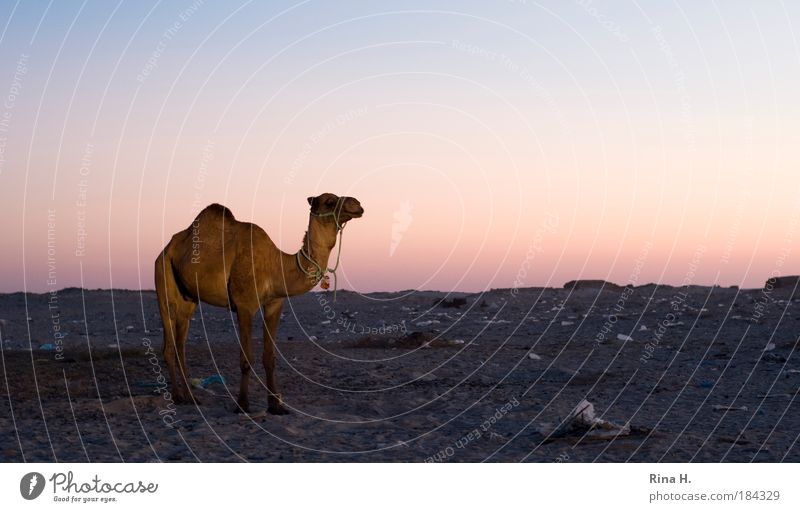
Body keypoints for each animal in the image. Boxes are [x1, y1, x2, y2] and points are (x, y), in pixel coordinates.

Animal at [154, 194, 366, 414]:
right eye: (329, 201)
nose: (357, 204)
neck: (276, 266)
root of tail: (166, 249)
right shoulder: (245, 306)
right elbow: (246, 358)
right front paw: (242, 404)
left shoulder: (274, 304)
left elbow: (269, 357)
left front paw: (276, 405)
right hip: (163, 276)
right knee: (168, 343)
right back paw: (178, 396)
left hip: (189, 298)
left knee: (181, 343)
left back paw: (191, 397)